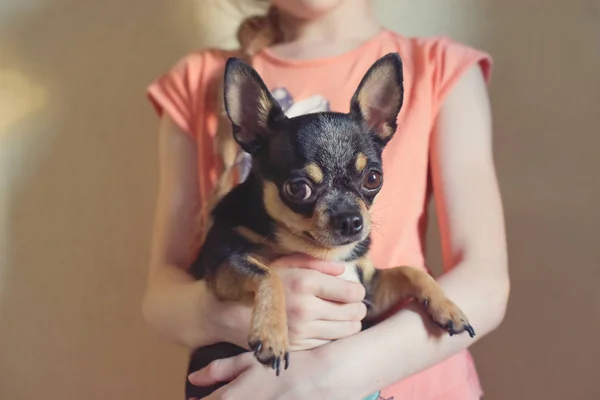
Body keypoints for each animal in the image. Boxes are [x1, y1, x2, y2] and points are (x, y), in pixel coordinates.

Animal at [185, 52, 476, 396]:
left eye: (373, 178)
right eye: (298, 189)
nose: (350, 220)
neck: (320, 251)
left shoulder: (368, 294)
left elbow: (411, 270)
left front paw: (448, 306)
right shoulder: (223, 263)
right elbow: (269, 274)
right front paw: (271, 333)